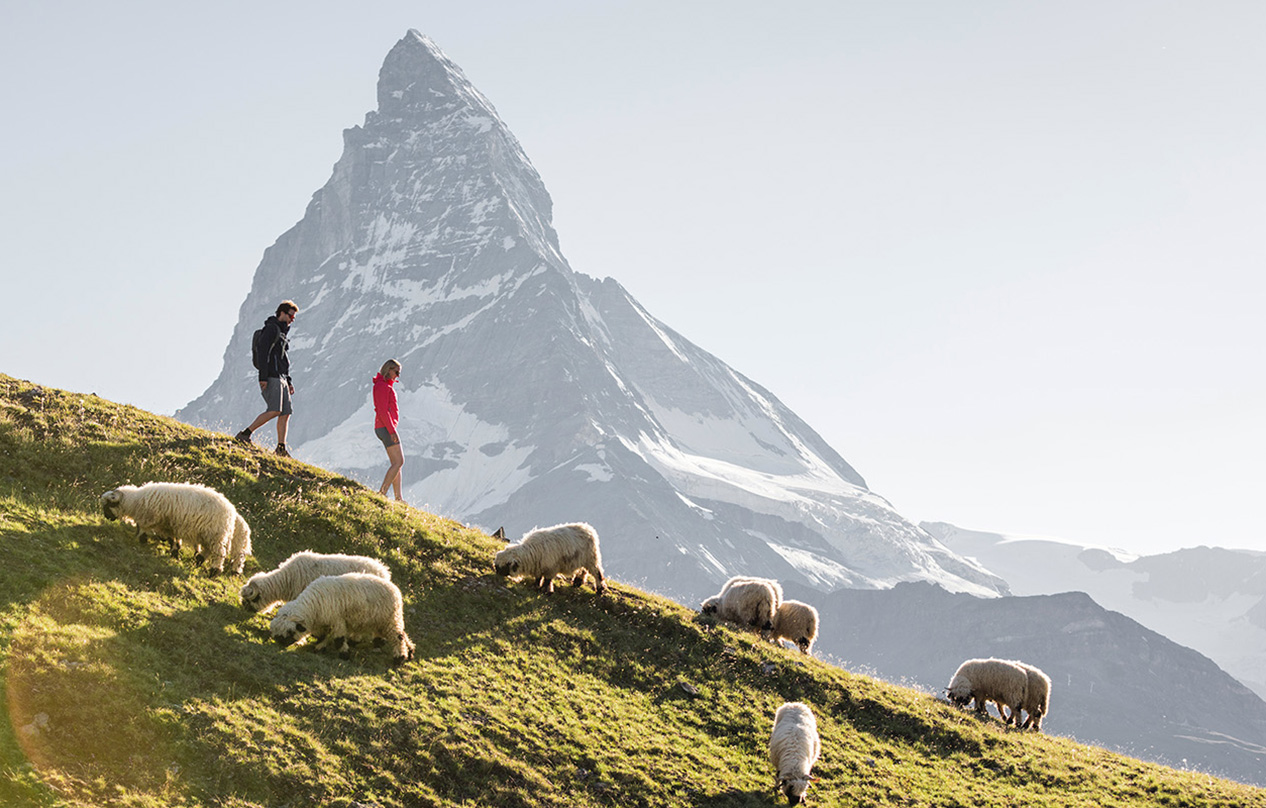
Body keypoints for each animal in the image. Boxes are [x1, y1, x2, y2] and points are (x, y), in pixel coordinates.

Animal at [100, 481, 250, 577]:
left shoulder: (154, 519)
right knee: (209, 549)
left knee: (220, 553)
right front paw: (174, 551)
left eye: (108, 505)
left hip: (216, 534)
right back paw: (199, 559)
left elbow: (144, 529)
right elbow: (173, 539)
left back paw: (215, 571)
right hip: (209, 534)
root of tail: (231, 510)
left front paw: (143, 539)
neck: (136, 501)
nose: (106, 517)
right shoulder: (169, 525)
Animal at [269, 569, 412, 663]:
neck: (313, 606)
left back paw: (400, 657)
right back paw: (408, 651)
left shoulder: (337, 620)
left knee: (398, 636)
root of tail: (395, 589)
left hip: (389, 618)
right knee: (400, 634)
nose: (280, 644)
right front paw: (319, 648)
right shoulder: (323, 621)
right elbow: (322, 636)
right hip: (380, 620)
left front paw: (344, 655)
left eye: (290, 631)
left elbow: (338, 639)